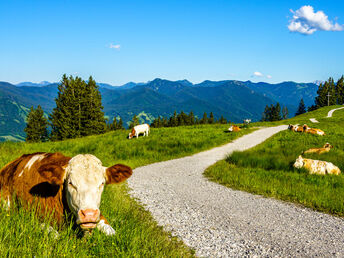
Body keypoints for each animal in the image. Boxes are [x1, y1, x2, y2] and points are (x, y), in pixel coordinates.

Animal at [0, 153, 132, 236]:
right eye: (71, 183)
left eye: (102, 183)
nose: (89, 214)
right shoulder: (35, 218)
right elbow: (56, 236)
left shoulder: (100, 216)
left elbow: (113, 233)